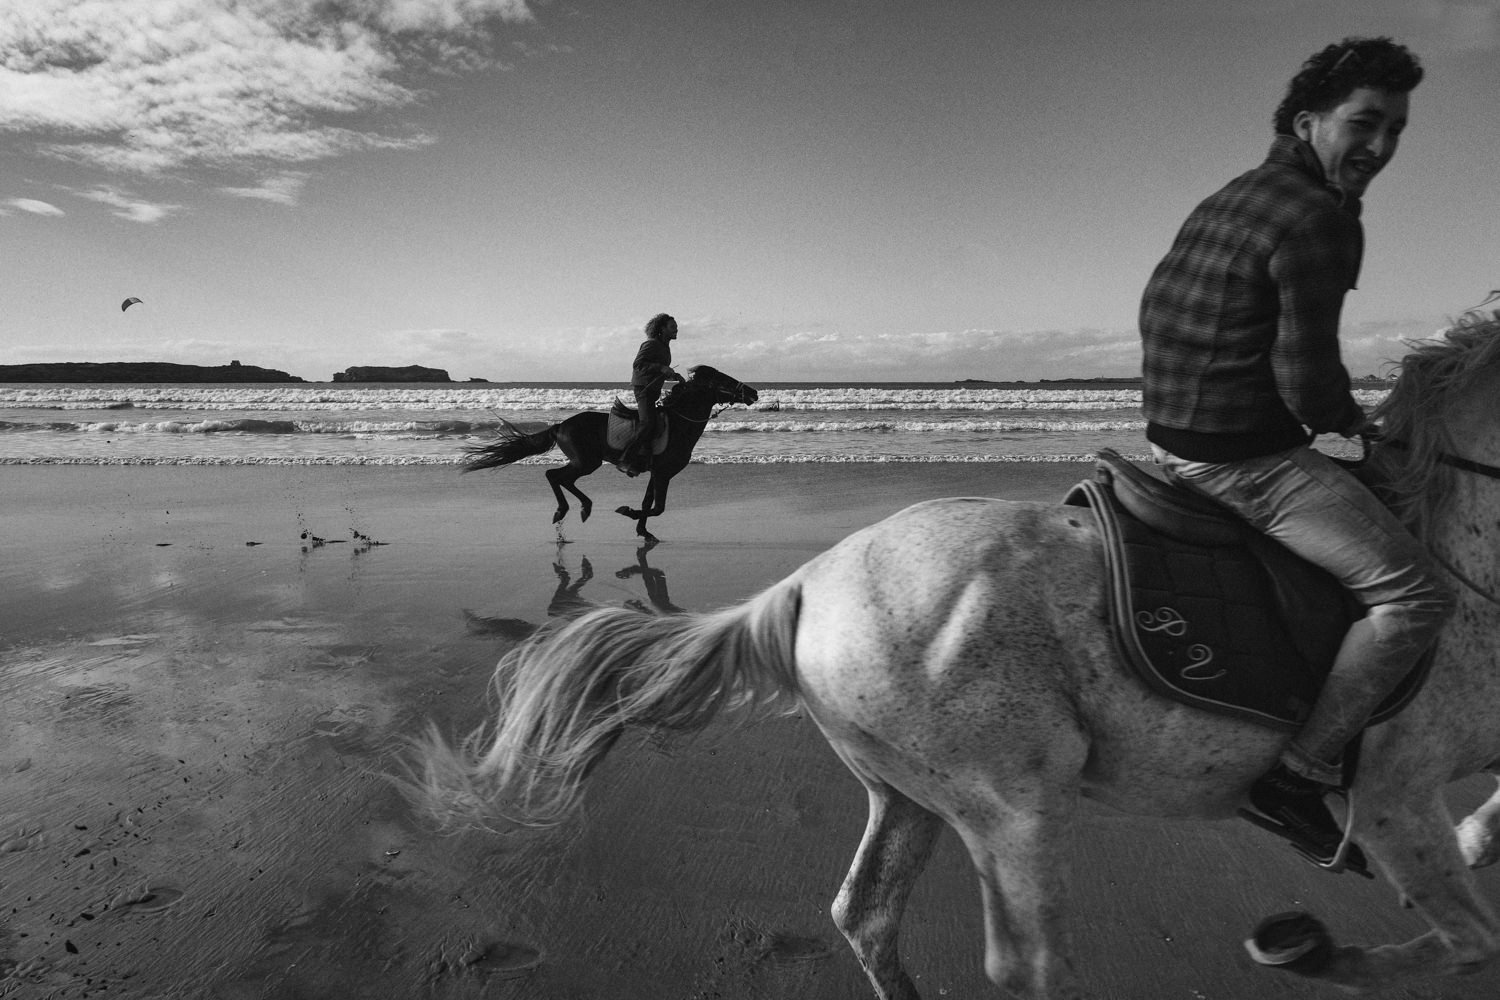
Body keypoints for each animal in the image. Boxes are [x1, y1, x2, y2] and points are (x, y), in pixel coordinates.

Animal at [459, 365, 762, 539]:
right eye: (722, 379)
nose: (754, 393)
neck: (679, 424)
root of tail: (560, 425)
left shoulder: (656, 473)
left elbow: (648, 503)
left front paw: (642, 531)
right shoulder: (664, 473)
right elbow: (658, 507)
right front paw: (627, 512)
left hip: (585, 462)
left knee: (561, 478)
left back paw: (581, 508)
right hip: (586, 462)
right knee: (554, 476)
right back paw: (569, 509)